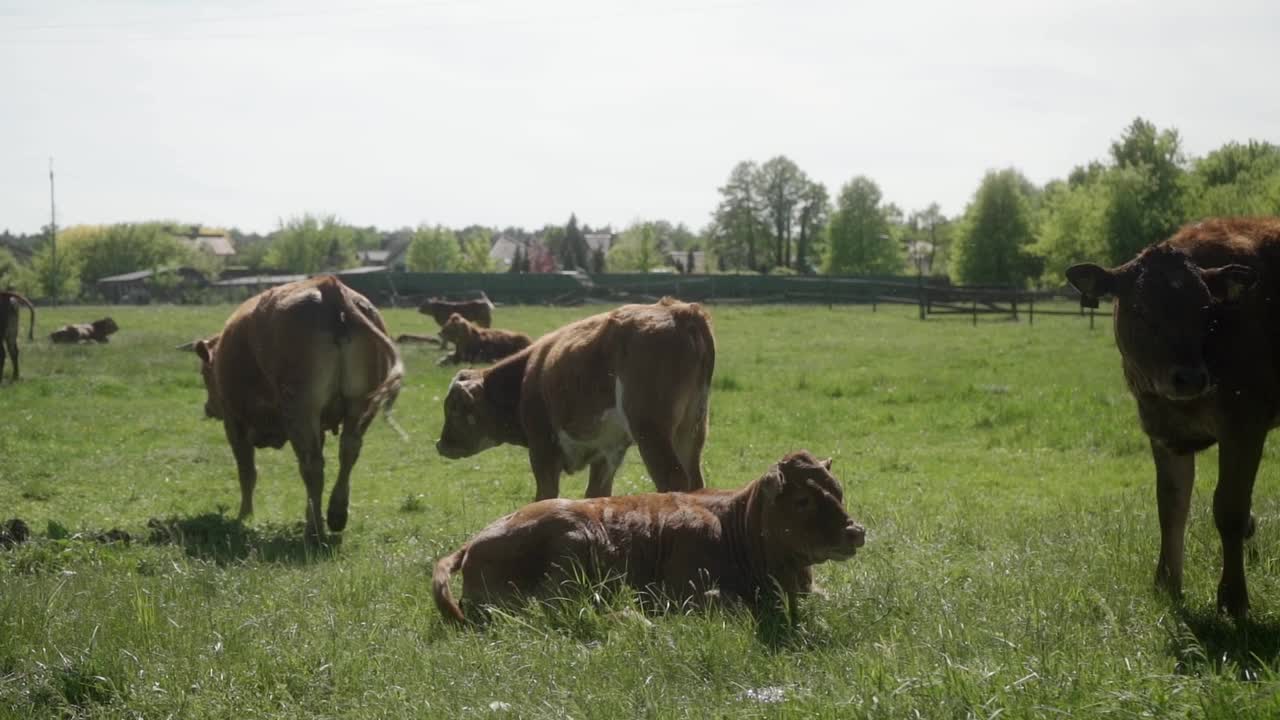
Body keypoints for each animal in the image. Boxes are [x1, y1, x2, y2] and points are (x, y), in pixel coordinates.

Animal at [193, 272, 404, 538]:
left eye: (204, 373)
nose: (208, 408)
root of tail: (330, 288)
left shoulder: (234, 423)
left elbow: (247, 472)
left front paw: (245, 516)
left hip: (301, 411)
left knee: (312, 465)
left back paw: (315, 530)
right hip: (360, 407)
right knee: (348, 452)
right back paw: (335, 515)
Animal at [435, 448, 865, 622]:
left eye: (838, 490)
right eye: (803, 500)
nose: (855, 532)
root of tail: (472, 543)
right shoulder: (687, 589)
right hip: (573, 544)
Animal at [437, 297, 721, 499]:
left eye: (454, 408)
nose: (441, 444)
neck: (529, 374)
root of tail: (680, 312)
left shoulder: (543, 450)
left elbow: (546, 496)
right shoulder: (607, 452)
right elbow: (596, 495)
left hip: (651, 431)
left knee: (672, 480)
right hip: (692, 429)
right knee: (695, 482)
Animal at [1064, 215, 1280, 614]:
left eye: (1206, 310)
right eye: (1140, 310)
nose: (1190, 377)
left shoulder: (1245, 424)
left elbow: (1229, 508)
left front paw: (1233, 598)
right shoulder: (1162, 431)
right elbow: (1171, 505)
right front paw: (1166, 584)